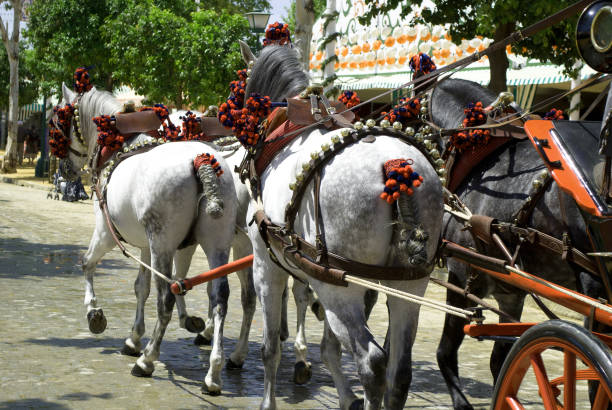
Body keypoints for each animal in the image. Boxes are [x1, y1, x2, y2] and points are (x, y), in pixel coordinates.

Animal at [58, 84, 237, 394]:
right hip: (216, 244)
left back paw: (148, 360)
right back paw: (213, 372)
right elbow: (140, 287)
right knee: (218, 298)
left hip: (162, 243)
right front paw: (133, 338)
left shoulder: (106, 232)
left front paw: (94, 312)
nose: (64, 170)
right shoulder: (145, 245)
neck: (118, 142)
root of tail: (200, 160)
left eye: (57, 120)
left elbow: (87, 263)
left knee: (167, 297)